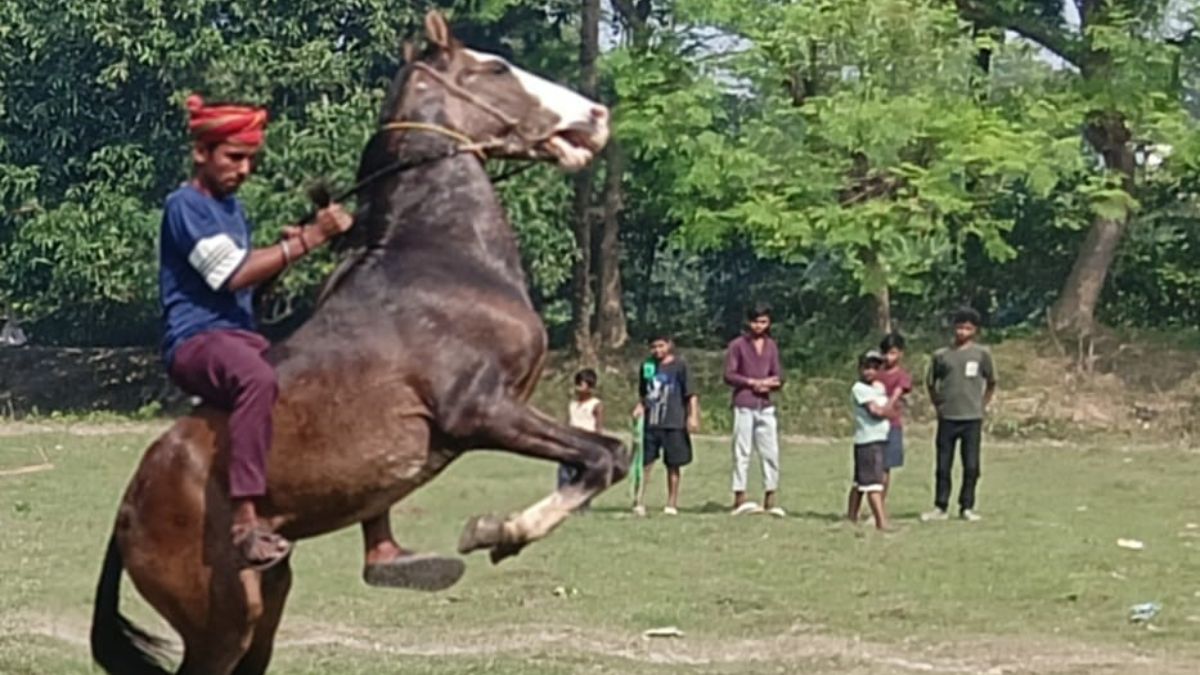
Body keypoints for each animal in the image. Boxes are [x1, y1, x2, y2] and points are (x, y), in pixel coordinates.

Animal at [90, 11, 628, 675]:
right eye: (497, 68)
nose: (596, 115)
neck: (445, 256)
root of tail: (126, 509)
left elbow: (612, 455)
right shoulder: (482, 412)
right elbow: (603, 457)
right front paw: (496, 533)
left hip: (265, 604)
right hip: (221, 623)